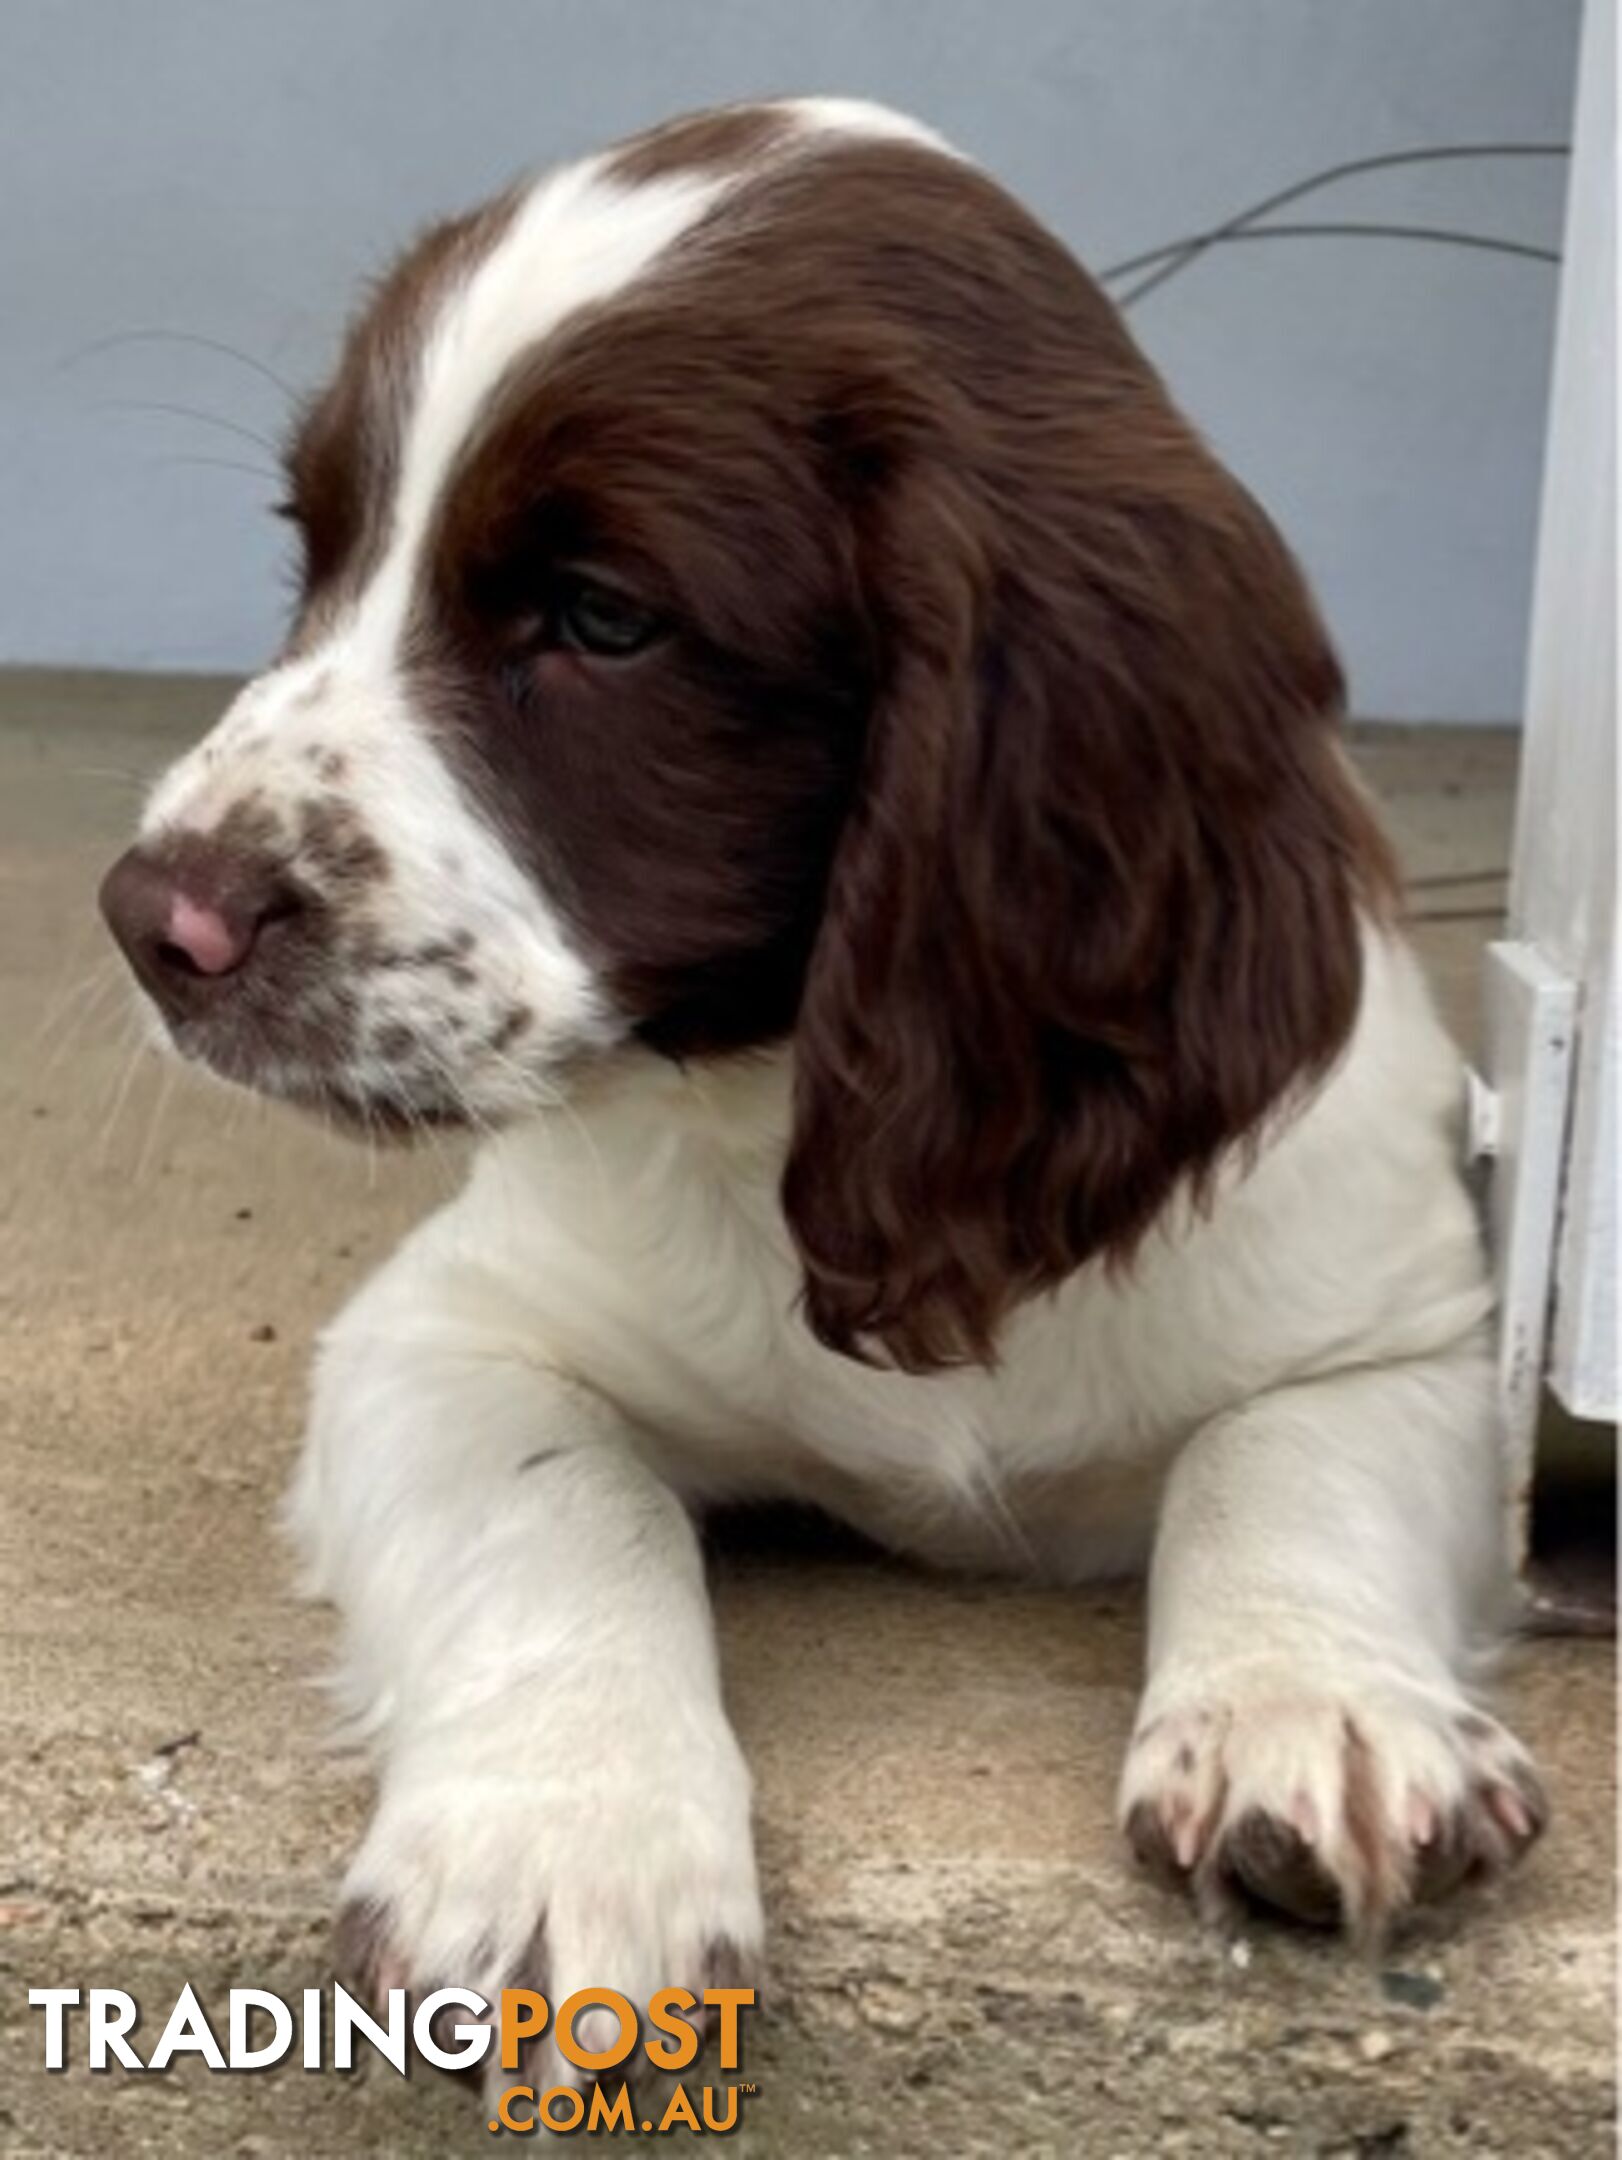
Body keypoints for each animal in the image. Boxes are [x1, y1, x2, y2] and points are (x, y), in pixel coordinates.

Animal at [101, 97, 1546, 2073]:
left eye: (599, 618)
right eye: (314, 555)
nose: (152, 922)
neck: (799, 1093)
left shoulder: (1402, 1332)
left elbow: (1278, 1457)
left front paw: (1308, 1708)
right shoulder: (445, 1337)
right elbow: (566, 1499)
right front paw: (561, 1839)